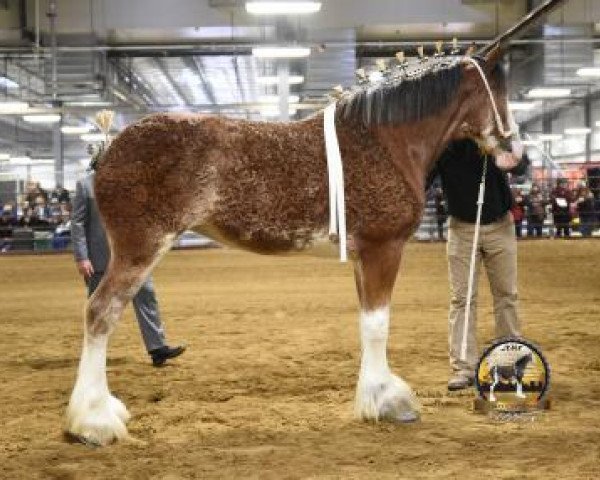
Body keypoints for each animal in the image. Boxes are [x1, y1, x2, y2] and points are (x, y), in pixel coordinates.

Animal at [64, 46, 516, 446]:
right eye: (499, 91)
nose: (513, 152)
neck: (383, 141)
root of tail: (108, 148)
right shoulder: (383, 249)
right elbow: (378, 326)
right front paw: (389, 402)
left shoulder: (362, 258)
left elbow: (366, 323)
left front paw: (372, 398)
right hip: (139, 250)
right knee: (100, 313)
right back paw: (94, 423)